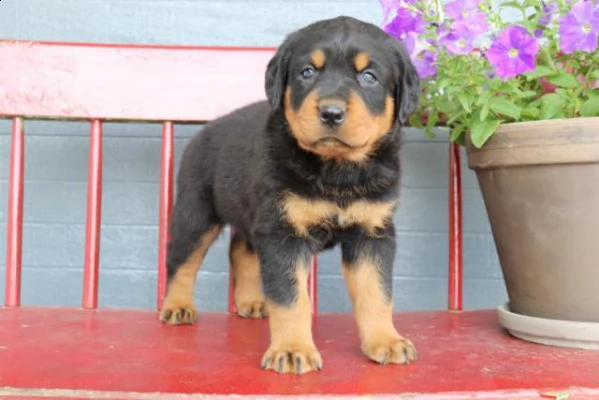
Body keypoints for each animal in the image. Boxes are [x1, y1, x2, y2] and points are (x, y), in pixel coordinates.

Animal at [161, 14, 422, 374]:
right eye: (307, 72)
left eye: (369, 76)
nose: (331, 113)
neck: (337, 170)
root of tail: (205, 130)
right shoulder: (282, 234)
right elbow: (291, 297)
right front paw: (292, 350)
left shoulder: (372, 233)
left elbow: (377, 292)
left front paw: (386, 340)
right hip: (196, 211)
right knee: (182, 259)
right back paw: (177, 305)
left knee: (241, 251)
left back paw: (251, 301)